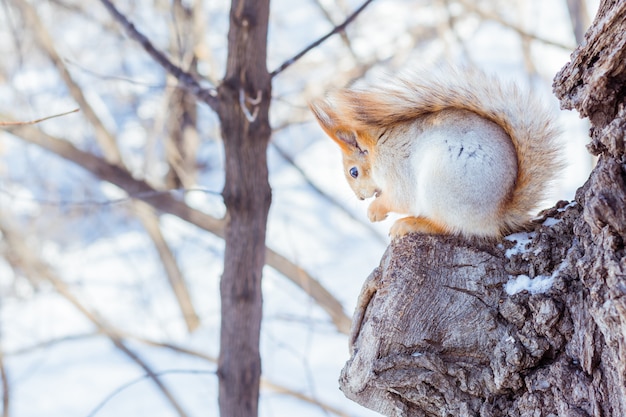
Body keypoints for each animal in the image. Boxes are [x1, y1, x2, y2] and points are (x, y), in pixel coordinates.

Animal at [310, 66, 564, 240]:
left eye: (353, 172)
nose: (361, 198)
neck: (377, 148)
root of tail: (497, 216)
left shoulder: (395, 169)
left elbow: (399, 198)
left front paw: (374, 210)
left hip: (440, 186)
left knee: (449, 226)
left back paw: (410, 224)